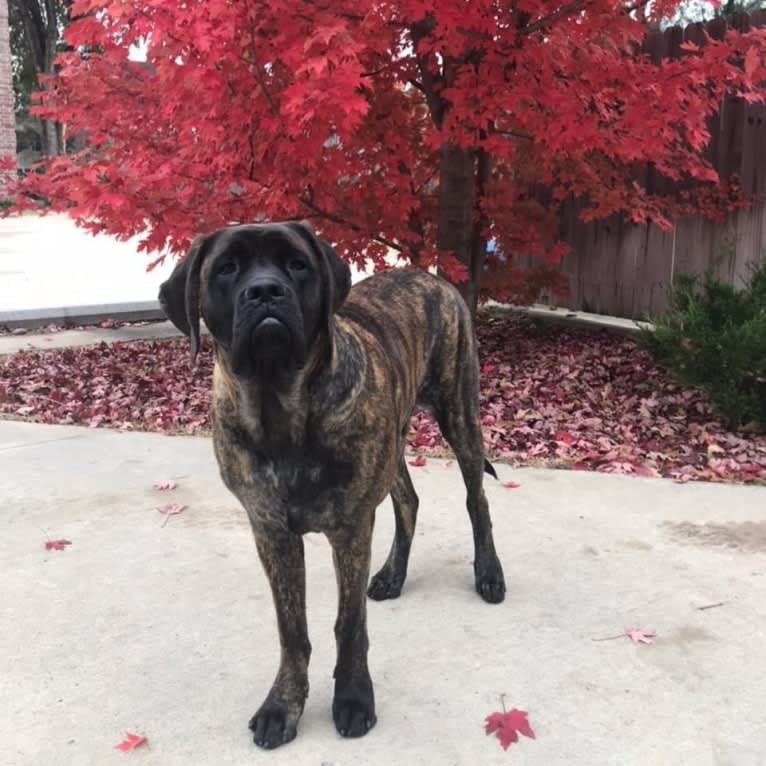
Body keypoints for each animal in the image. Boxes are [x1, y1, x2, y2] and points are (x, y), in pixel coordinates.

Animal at [159, 220, 508, 752]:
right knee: (408, 500)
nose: (265, 291)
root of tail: (428, 275)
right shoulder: (272, 532)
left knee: (477, 501)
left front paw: (353, 698)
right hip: (392, 443)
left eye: (297, 264)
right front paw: (282, 705)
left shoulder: (350, 526)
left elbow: (349, 623)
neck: (282, 409)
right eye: (227, 268)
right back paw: (392, 575)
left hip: (459, 411)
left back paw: (488, 573)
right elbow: (291, 630)